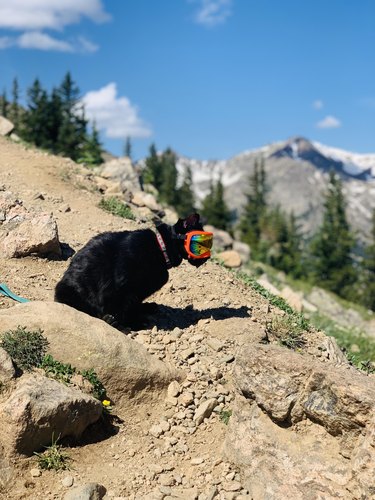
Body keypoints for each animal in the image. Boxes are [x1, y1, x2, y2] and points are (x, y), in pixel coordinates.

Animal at [54, 213, 210, 326]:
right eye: (201, 244)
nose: (207, 257)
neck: (161, 249)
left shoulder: (137, 292)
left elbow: (129, 307)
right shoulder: (121, 286)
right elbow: (120, 308)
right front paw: (131, 322)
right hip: (70, 291)